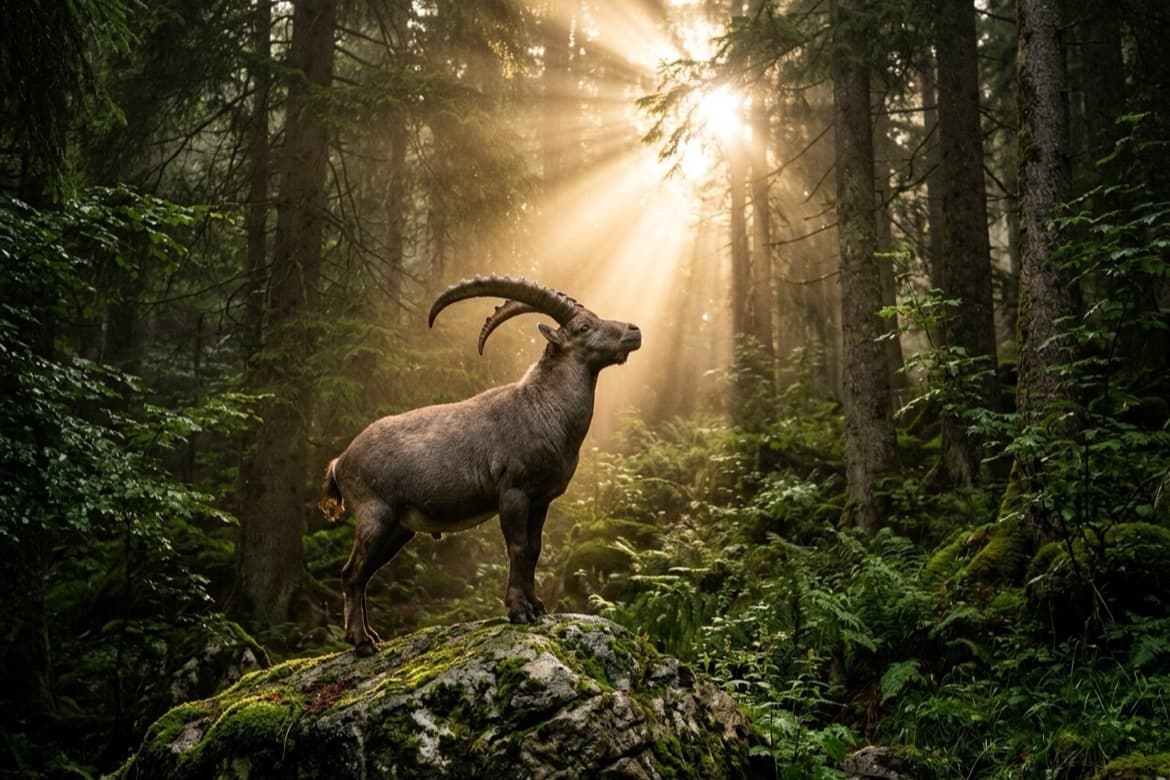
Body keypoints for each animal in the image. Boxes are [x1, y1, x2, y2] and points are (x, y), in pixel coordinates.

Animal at [319, 276, 641, 656]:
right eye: (584, 327)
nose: (634, 330)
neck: (544, 410)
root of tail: (339, 462)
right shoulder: (514, 493)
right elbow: (517, 548)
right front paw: (518, 611)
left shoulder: (541, 500)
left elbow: (534, 550)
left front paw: (538, 606)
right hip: (375, 516)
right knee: (351, 572)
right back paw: (361, 642)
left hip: (399, 527)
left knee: (364, 573)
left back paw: (370, 636)